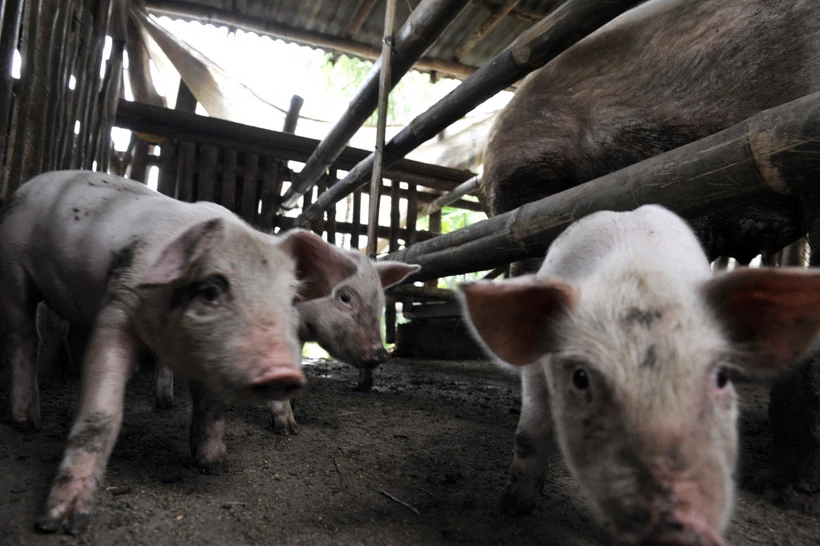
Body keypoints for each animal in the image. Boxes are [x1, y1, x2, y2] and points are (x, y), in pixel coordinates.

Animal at [0, 170, 358, 532]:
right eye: (211, 290)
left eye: (290, 298)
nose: (281, 372)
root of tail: (28, 185)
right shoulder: (117, 307)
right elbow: (101, 414)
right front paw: (62, 522)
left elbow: (211, 406)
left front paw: (214, 465)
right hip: (12, 265)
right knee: (24, 335)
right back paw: (27, 423)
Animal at [458, 205, 820, 544]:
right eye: (580, 378)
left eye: (722, 377)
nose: (681, 528)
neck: (636, 277)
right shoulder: (535, 366)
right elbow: (529, 433)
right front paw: (512, 507)